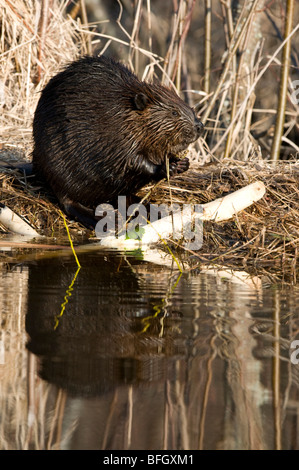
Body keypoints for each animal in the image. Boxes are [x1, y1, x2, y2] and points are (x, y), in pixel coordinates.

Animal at [32, 55, 204, 228]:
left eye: (189, 107)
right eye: (174, 112)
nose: (199, 126)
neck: (124, 112)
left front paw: (183, 163)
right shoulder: (119, 138)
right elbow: (133, 161)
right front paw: (169, 167)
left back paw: (154, 209)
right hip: (57, 169)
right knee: (68, 201)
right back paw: (106, 221)